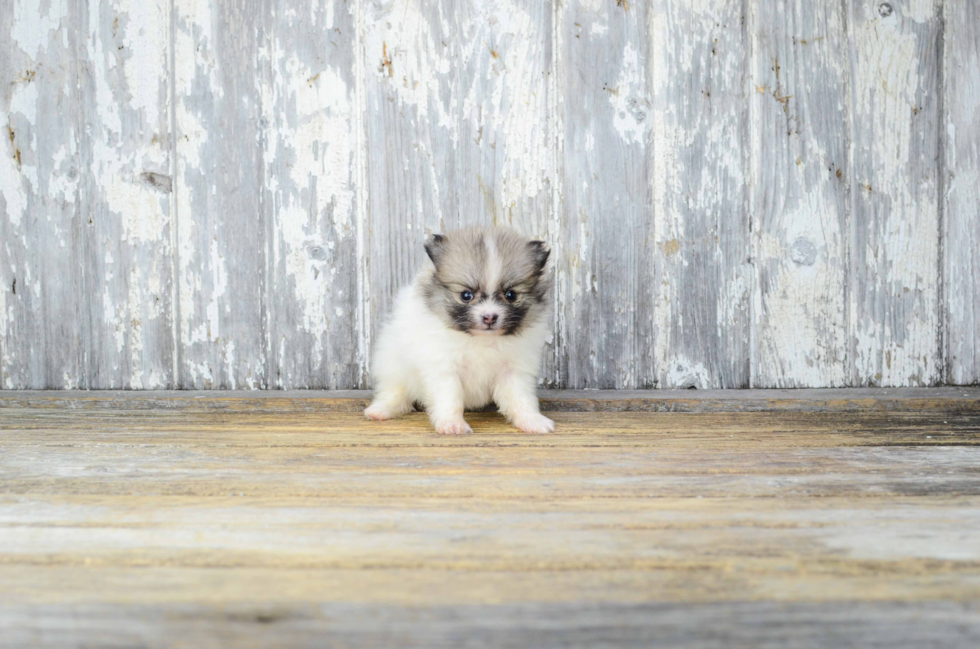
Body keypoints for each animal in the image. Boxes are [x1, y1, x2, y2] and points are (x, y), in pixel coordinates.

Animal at [364, 225, 556, 432]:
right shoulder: (444, 368)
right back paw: (381, 410)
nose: (490, 317)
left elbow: (521, 399)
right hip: (393, 365)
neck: (481, 339)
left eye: (510, 295)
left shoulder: (514, 370)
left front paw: (532, 421)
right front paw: (452, 424)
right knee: (395, 392)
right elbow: (450, 398)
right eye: (466, 295)